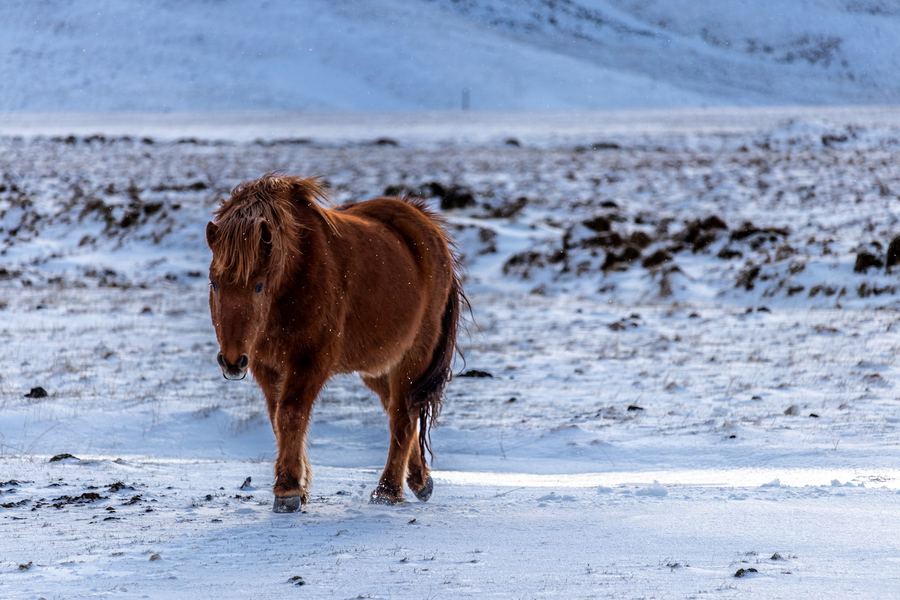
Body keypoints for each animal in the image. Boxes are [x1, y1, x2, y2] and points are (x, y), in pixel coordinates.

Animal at [205, 174, 463, 512]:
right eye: (215, 283)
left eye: (259, 286)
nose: (232, 361)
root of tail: (428, 226)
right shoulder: (266, 366)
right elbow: (277, 418)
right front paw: (299, 485)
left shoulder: (310, 361)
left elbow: (291, 415)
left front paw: (288, 490)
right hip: (378, 367)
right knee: (398, 408)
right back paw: (420, 480)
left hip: (413, 357)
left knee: (403, 417)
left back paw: (388, 491)